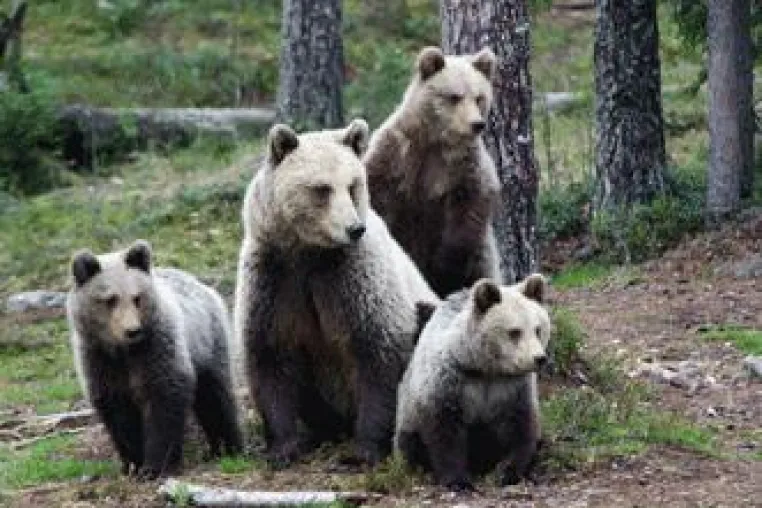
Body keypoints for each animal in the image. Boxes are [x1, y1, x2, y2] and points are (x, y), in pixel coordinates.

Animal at [67, 240, 243, 479]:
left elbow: (163, 400)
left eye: (137, 297)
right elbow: (119, 412)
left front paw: (155, 466)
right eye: (110, 299)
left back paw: (228, 446)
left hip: (207, 341)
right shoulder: (100, 361)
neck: (124, 352)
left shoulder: (157, 349)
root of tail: (199, 282)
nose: (132, 330)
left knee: (215, 395)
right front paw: (133, 463)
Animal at [233, 118, 439, 467]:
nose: (354, 229)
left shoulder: (353, 276)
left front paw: (364, 449)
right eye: (321, 189)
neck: (310, 254)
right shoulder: (274, 278)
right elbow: (271, 353)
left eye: (353, 184)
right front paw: (283, 446)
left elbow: (378, 349)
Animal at [363, 45, 502, 298]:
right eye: (454, 97)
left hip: (483, 258)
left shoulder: (464, 167)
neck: (436, 140)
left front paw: (445, 267)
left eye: (479, 97)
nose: (477, 124)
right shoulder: (397, 155)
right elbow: (375, 189)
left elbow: (470, 209)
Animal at [394, 274, 550, 491]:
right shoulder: (449, 379)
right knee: (410, 444)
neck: (483, 368)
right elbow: (444, 429)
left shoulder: (512, 386)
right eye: (514, 332)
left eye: (538, 329)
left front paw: (508, 472)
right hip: (408, 418)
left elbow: (520, 426)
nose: (539, 358)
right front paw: (458, 480)